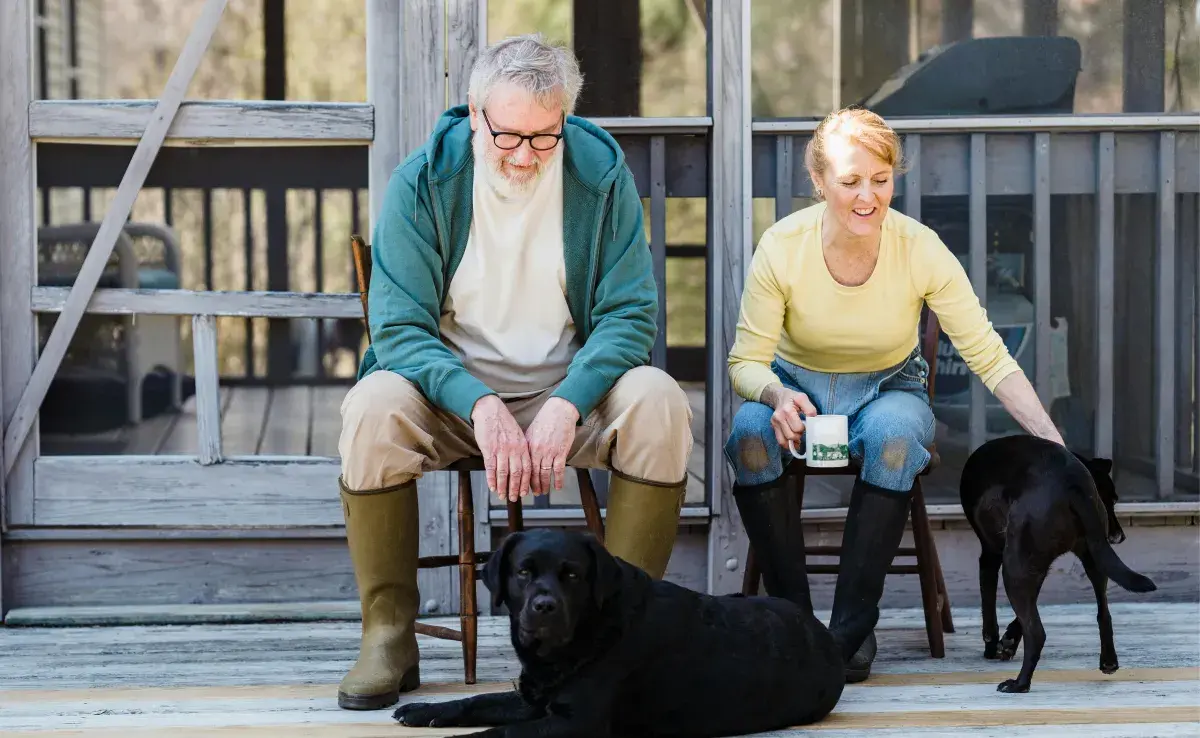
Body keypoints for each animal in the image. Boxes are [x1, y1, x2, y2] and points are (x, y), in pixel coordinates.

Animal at [393, 528, 844, 734]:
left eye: (572, 575)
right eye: (523, 572)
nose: (544, 607)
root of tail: (824, 635)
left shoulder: (575, 722)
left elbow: (497, 733)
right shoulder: (533, 699)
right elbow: (478, 700)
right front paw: (425, 710)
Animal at [955, 432, 1152, 691]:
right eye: (1110, 499)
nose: (1119, 536)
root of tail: (1072, 484)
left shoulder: (991, 555)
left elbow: (989, 611)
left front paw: (994, 646)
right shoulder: (1035, 566)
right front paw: (1008, 640)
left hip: (1014, 565)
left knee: (1037, 632)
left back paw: (1019, 684)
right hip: (1093, 558)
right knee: (1104, 613)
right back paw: (1108, 661)